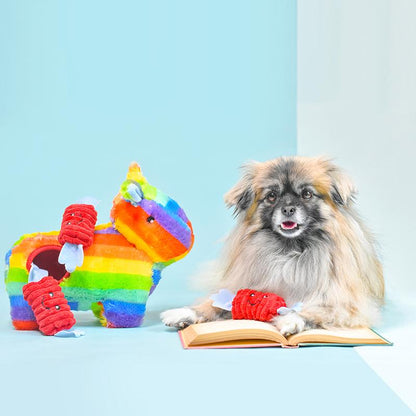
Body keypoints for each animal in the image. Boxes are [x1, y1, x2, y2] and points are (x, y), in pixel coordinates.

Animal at [161, 156, 386, 334]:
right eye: (271, 196)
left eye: (307, 194)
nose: (288, 209)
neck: (290, 252)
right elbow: (214, 304)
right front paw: (186, 312)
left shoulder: (347, 306)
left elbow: (314, 310)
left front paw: (291, 319)